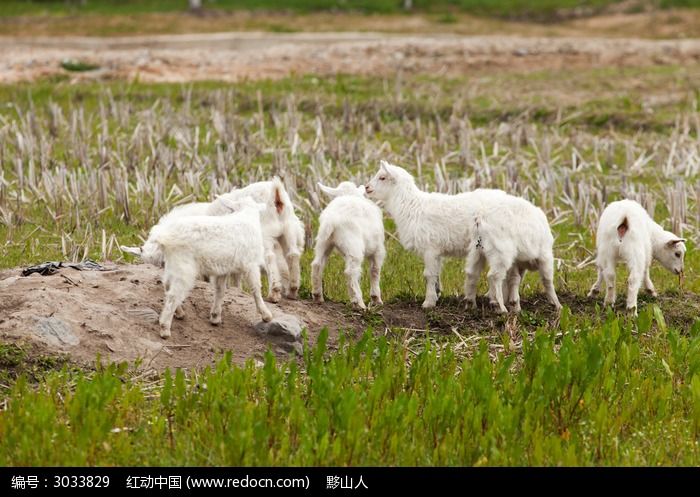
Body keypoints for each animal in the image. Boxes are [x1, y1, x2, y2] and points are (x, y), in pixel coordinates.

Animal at [146, 196, 272, 340]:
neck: (246, 216)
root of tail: (163, 235)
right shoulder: (251, 264)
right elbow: (256, 289)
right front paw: (266, 315)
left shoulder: (223, 268)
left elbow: (220, 290)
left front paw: (215, 316)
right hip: (184, 268)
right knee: (173, 295)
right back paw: (165, 329)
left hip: (173, 264)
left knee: (167, 286)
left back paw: (179, 313)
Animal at [314, 180, 386, 308]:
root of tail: (331, 220)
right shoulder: (378, 249)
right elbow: (375, 270)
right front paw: (376, 299)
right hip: (354, 246)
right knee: (351, 272)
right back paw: (359, 303)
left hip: (323, 241)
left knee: (317, 264)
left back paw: (318, 296)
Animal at [364, 161, 560, 312]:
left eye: (382, 177)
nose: (366, 188)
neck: (412, 206)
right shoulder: (437, 252)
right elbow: (436, 275)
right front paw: (437, 295)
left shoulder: (431, 248)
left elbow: (429, 275)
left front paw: (428, 302)